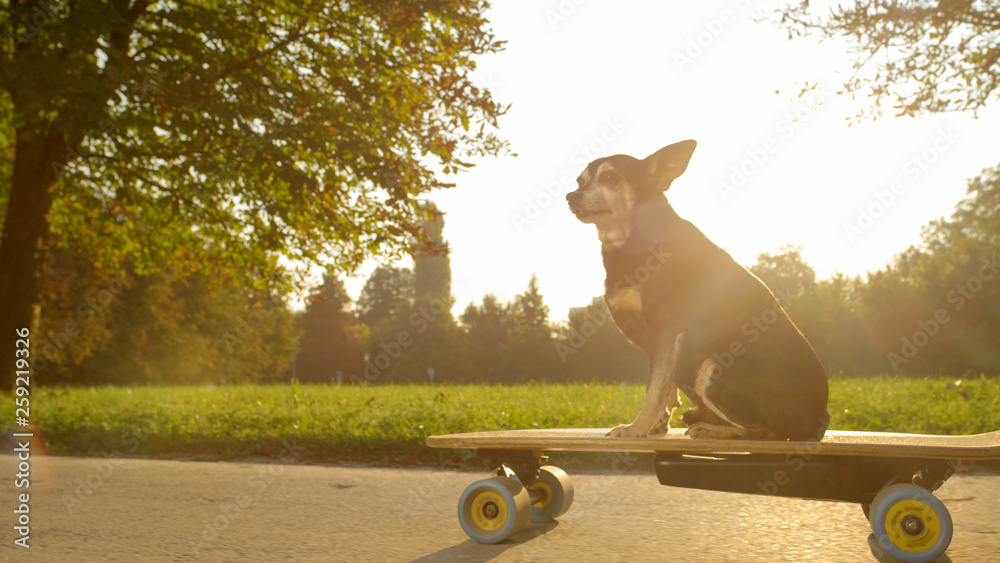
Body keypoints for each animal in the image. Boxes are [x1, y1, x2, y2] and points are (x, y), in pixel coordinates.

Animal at [568, 140, 832, 440]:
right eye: (579, 181)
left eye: (610, 177)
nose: (570, 196)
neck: (635, 239)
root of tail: (820, 419)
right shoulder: (663, 342)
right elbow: (666, 387)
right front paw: (656, 424)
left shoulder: (666, 329)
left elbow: (654, 389)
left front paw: (637, 428)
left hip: (711, 367)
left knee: (765, 432)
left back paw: (713, 430)